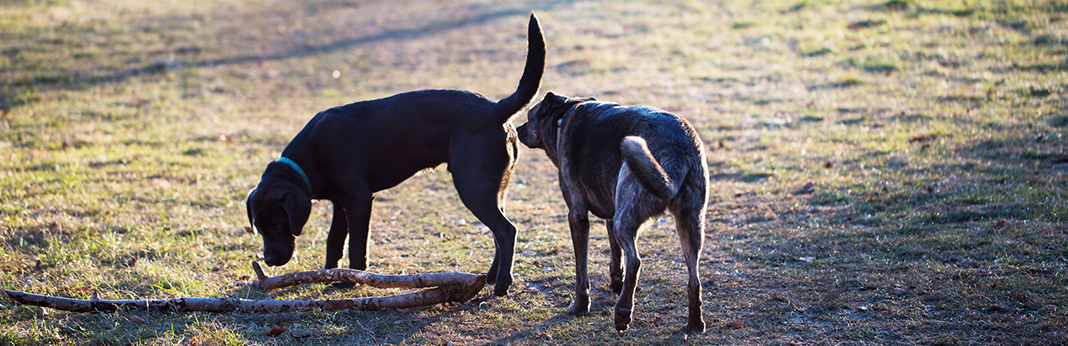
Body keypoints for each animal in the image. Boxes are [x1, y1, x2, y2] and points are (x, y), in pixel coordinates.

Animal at [244, 12, 542, 294]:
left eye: (279, 225)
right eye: (259, 227)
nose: (269, 260)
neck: (310, 156)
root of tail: (496, 108)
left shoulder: (359, 199)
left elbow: (356, 245)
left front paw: (351, 280)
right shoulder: (340, 203)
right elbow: (334, 240)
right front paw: (328, 274)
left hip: (473, 188)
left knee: (506, 231)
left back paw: (502, 284)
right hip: (492, 190)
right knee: (498, 234)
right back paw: (490, 277)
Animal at [516, 91, 709, 333]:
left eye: (529, 116)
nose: (517, 129)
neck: (563, 117)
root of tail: (676, 149)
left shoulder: (577, 215)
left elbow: (581, 271)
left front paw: (580, 306)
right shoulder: (610, 212)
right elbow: (616, 256)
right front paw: (617, 284)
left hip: (625, 217)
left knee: (635, 261)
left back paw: (623, 312)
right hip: (690, 223)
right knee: (694, 279)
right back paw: (694, 323)